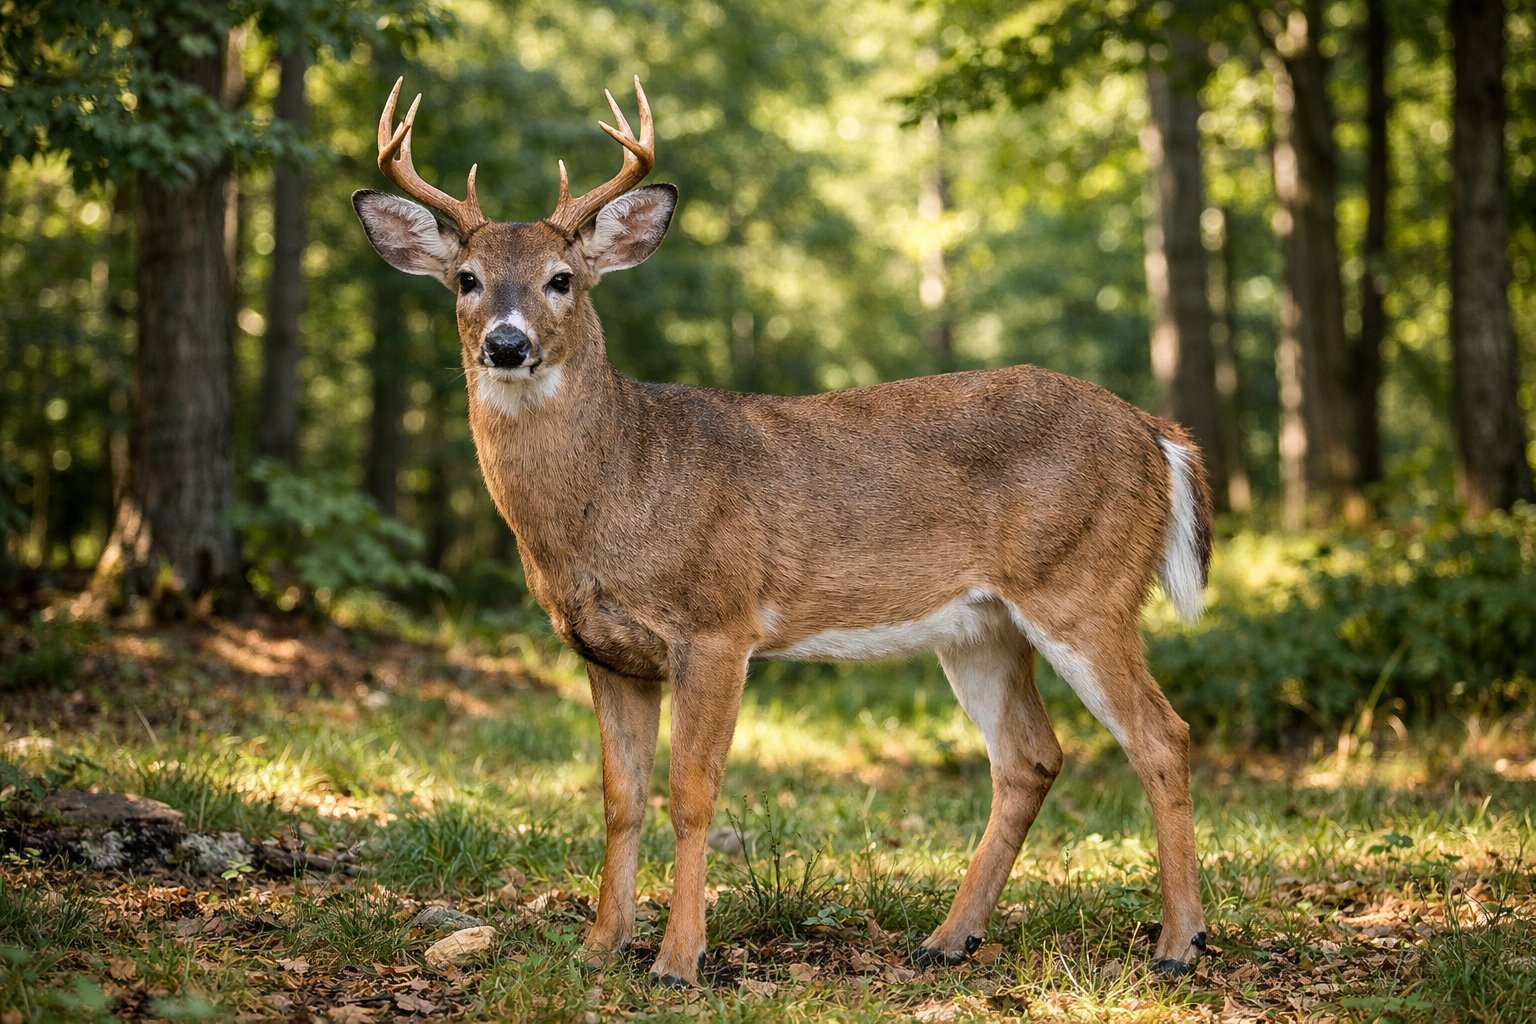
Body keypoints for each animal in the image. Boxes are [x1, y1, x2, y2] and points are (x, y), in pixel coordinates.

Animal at [352, 77, 1213, 988]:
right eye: (466, 279)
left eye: (562, 279)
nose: (507, 344)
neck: (620, 484)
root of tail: (1156, 432)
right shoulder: (606, 651)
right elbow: (620, 800)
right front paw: (599, 947)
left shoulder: (716, 624)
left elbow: (691, 794)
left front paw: (679, 959)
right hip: (981, 626)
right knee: (1029, 758)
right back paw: (949, 938)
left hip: (1085, 587)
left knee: (1160, 735)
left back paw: (1179, 943)